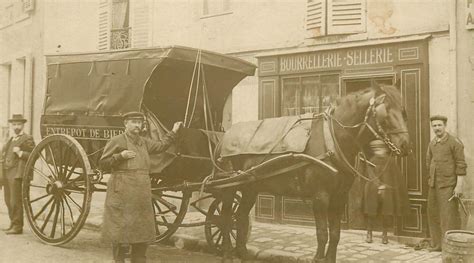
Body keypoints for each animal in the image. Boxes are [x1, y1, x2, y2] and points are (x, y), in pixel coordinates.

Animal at [217, 85, 410, 262]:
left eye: (403, 112)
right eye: (385, 113)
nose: (406, 146)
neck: (332, 139)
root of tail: (225, 136)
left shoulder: (339, 197)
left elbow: (335, 234)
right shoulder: (320, 197)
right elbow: (322, 233)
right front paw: (318, 258)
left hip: (250, 187)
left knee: (240, 216)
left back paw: (242, 252)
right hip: (228, 186)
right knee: (225, 217)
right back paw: (226, 252)